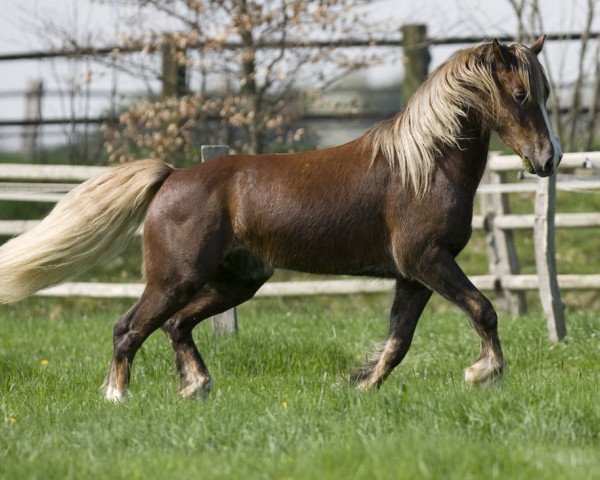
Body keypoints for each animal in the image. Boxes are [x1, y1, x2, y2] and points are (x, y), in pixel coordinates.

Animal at [1, 36, 564, 402]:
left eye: (544, 94)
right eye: (520, 95)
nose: (548, 159)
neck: (422, 166)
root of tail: (172, 176)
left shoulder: (414, 275)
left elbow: (398, 343)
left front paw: (359, 387)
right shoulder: (428, 261)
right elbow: (483, 310)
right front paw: (485, 374)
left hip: (237, 281)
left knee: (177, 326)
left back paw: (197, 388)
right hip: (174, 279)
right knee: (129, 328)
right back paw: (118, 397)